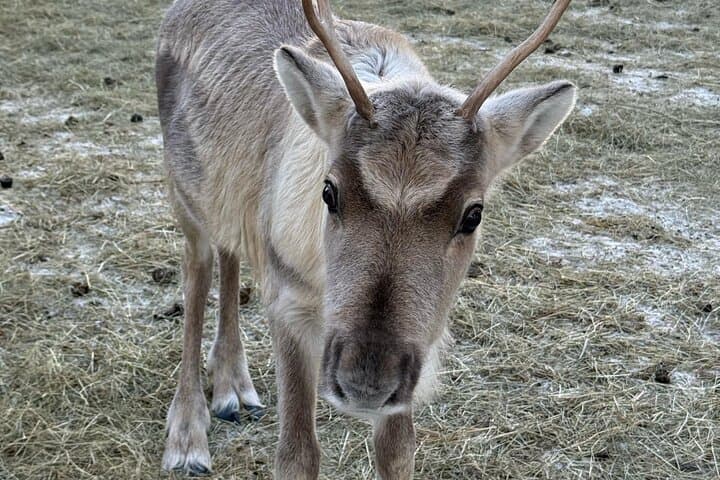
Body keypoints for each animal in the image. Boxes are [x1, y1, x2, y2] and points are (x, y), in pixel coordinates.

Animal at [155, 0, 575, 478]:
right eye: (328, 191)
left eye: (473, 214)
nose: (365, 382)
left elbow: (398, 451)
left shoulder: (416, 353)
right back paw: (188, 436)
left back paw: (232, 386)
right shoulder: (287, 301)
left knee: (230, 255)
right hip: (183, 196)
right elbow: (297, 455)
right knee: (197, 275)